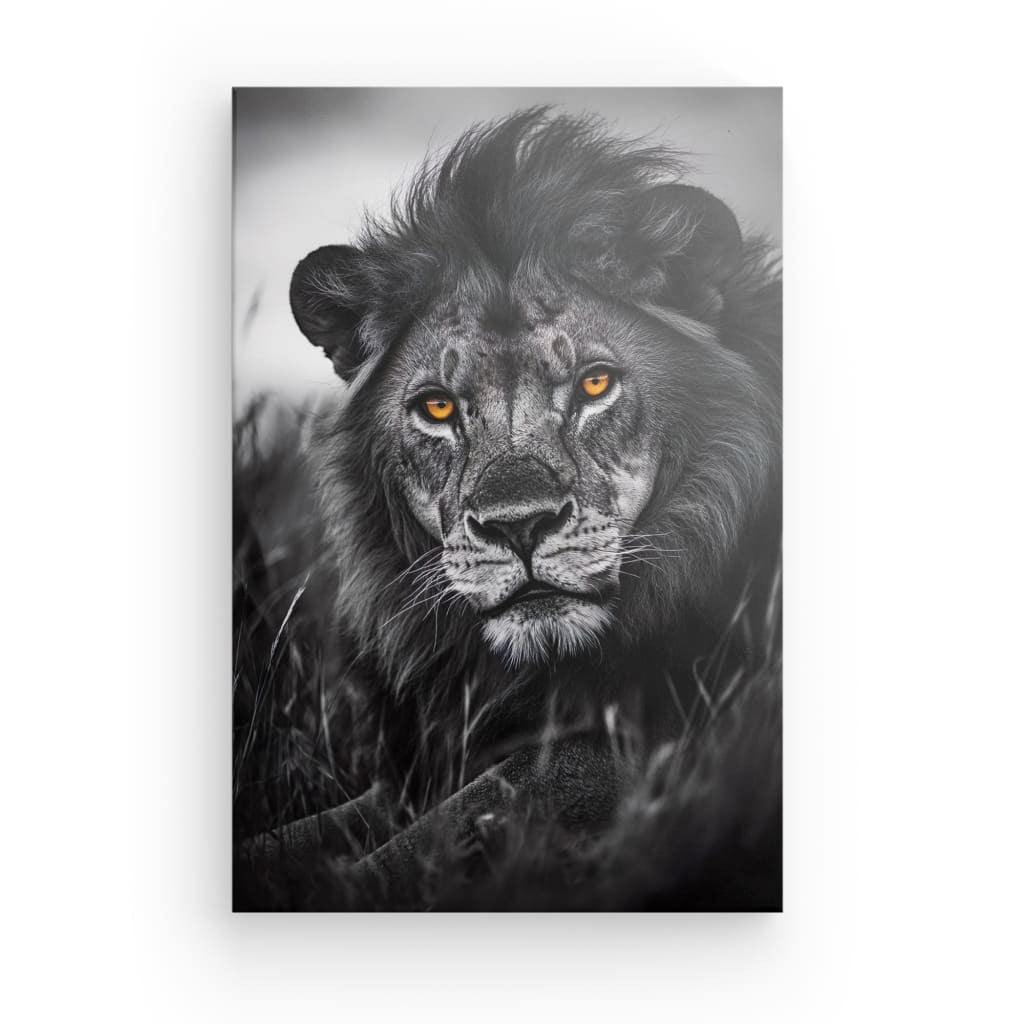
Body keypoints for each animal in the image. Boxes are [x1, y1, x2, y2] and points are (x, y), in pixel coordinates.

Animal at [242, 109, 781, 909]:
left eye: (595, 384)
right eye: (437, 407)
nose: (518, 526)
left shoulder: (680, 747)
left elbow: (472, 809)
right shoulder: (412, 774)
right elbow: (302, 834)